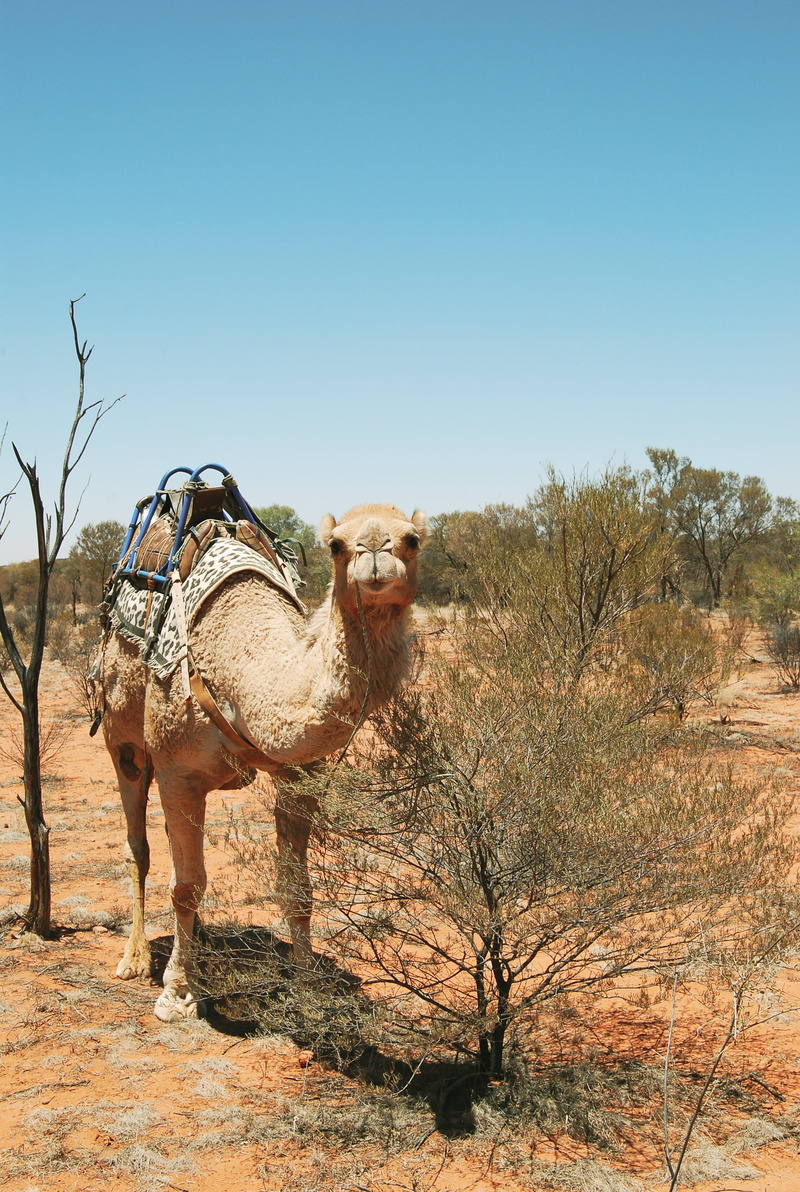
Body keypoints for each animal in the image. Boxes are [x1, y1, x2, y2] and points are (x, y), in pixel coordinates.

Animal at [97, 502, 428, 1021]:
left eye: (412, 539)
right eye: (336, 544)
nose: (374, 550)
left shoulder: (299, 774)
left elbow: (297, 887)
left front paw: (310, 987)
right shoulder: (177, 769)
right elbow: (187, 886)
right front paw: (177, 994)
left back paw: (199, 940)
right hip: (123, 739)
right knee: (139, 846)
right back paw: (134, 959)